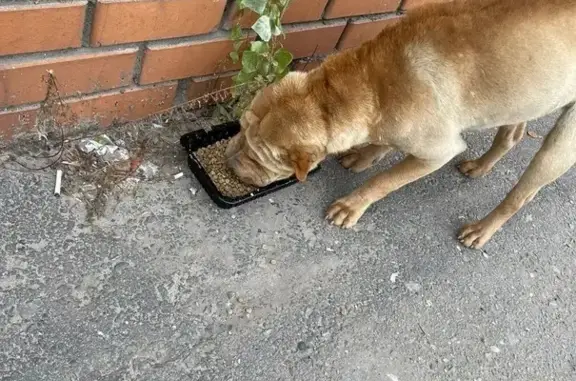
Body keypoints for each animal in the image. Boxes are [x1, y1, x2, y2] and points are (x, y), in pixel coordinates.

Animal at [227, 0, 576, 249]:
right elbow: (381, 144)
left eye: (258, 157)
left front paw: (353, 205)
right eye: (240, 127)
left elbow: (384, 180)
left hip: (559, 145)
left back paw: (483, 229)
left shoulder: (436, 152)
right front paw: (364, 156)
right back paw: (481, 165)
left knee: (521, 195)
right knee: (512, 134)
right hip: (521, 97)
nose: (230, 160)